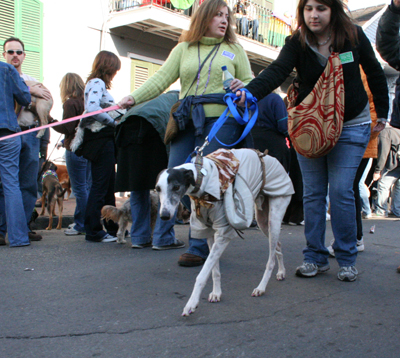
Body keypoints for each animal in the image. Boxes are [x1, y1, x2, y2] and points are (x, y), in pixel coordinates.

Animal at [155, 148, 294, 316]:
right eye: (157, 189)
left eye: (176, 187)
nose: (164, 216)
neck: (202, 178)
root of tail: (272, 158)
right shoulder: (209, 231)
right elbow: (214, 270)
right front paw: (216, 293)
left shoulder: (223, 233)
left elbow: (202, 274)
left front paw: (191, 304)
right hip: (262, 221)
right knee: (277, 245)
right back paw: (281, 271)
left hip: (274, 215)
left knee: (271, 258)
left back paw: (261, 287)